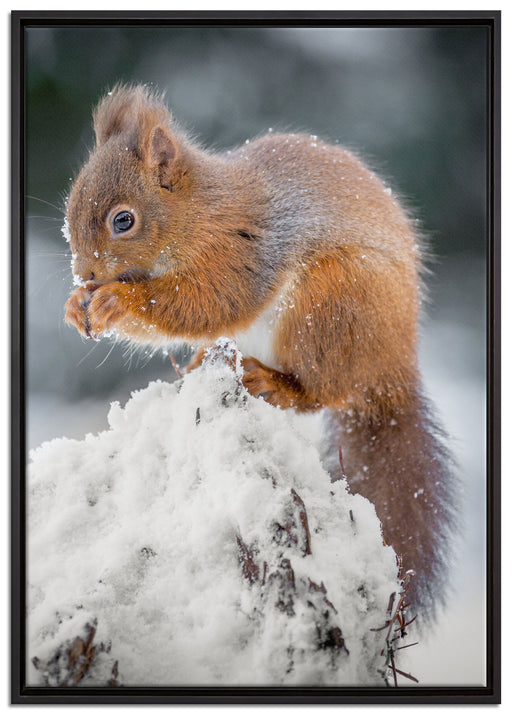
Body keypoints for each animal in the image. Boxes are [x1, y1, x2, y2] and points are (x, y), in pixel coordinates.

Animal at [64, 85, 457, 615]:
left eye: (123, 220)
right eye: (70, 204)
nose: (84, 274)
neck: (198, 213)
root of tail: (394, 366)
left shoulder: (241, 252)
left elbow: (205, 302)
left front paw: (115, 302)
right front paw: (75, 305)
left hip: (331, 307)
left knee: (321, 391)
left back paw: (274, 383)